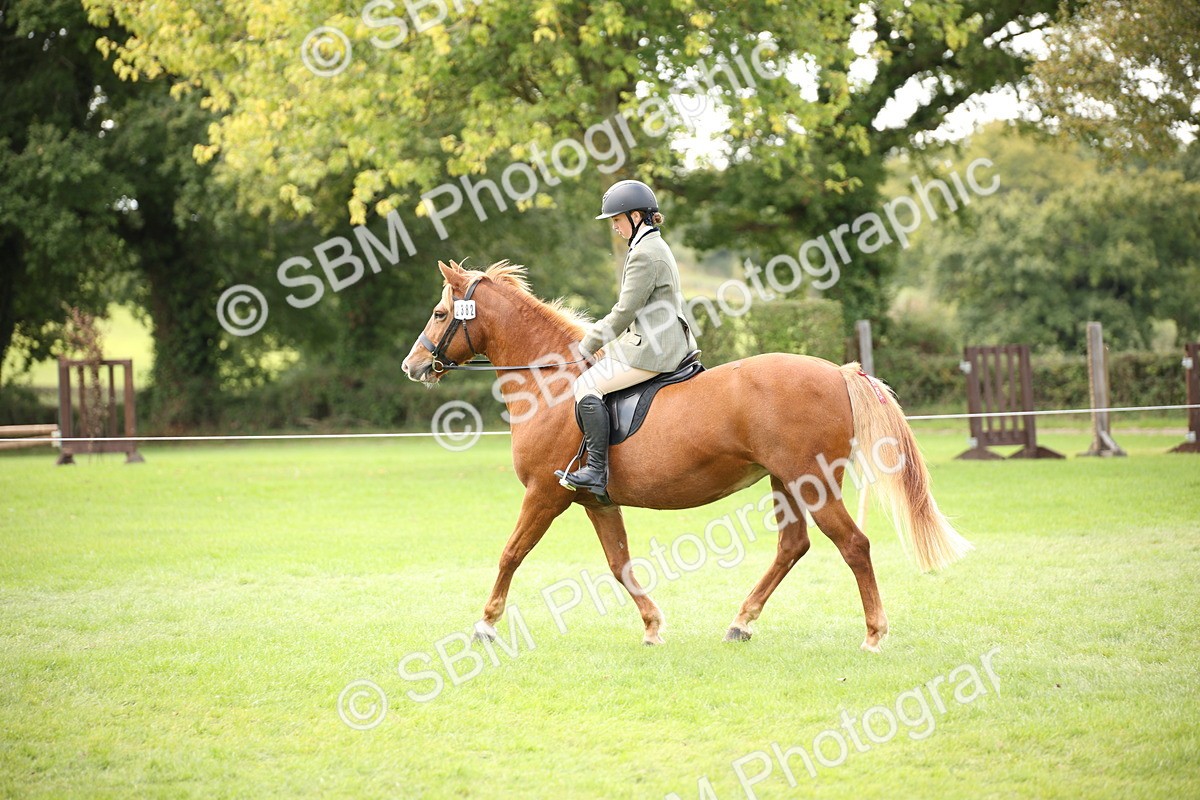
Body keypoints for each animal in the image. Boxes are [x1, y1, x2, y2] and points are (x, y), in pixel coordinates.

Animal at [401, 260, 972, 651]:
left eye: (439, 313)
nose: (412, 366)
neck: (552, 385)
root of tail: (838, 371)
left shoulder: (544, 494)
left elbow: (511, 553)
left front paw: (485, 624)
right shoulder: (595, 500)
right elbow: (619, 564)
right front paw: (653, 626)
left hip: (811, 481)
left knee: (853, 545)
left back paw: (873, 634)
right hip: (786, 482)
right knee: (793, 546)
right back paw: (741, 622)